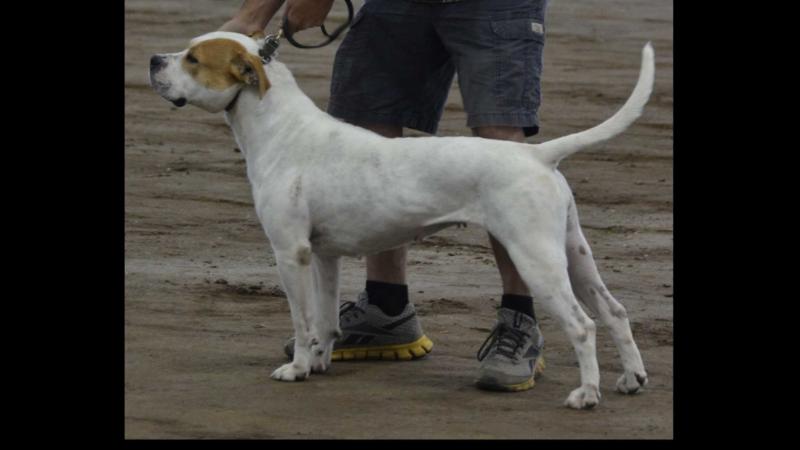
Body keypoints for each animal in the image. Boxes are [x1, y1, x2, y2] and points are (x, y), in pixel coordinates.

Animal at [150, 31, 656, 410]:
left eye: (193, 59)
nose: (154, 58)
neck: (281, 128)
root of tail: (538, 154)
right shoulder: (324, 256)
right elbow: (325, 320)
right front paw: (319, 362)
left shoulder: (289, 253)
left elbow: (302, 319)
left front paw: (295, 368)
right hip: (572, 252)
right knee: (614, 311)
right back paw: (631, 378)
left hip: (535, 257)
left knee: (583, 324)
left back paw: (586, 394)